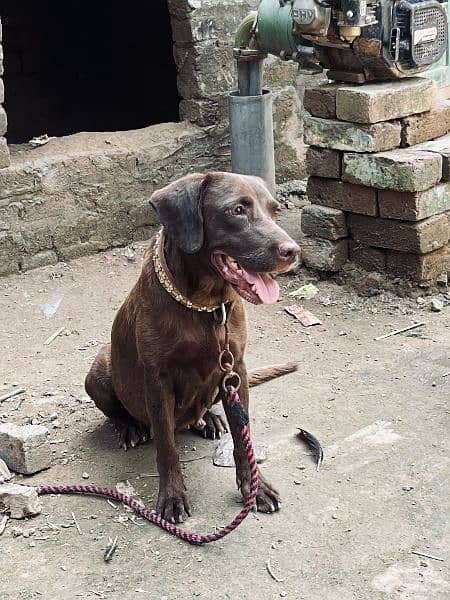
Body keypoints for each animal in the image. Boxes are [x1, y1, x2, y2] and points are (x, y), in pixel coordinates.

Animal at [86, 171, 300, 524]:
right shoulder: (157, 381)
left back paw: (208, 418)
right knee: (120, 412)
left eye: (275, 210)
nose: (292, 251)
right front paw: (172, 496)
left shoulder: (235, 369)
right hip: (99, 370)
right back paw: (130, 427)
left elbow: (243, 437)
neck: (205, 306)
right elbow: (166, 447)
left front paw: (255, 488)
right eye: (237, 210)